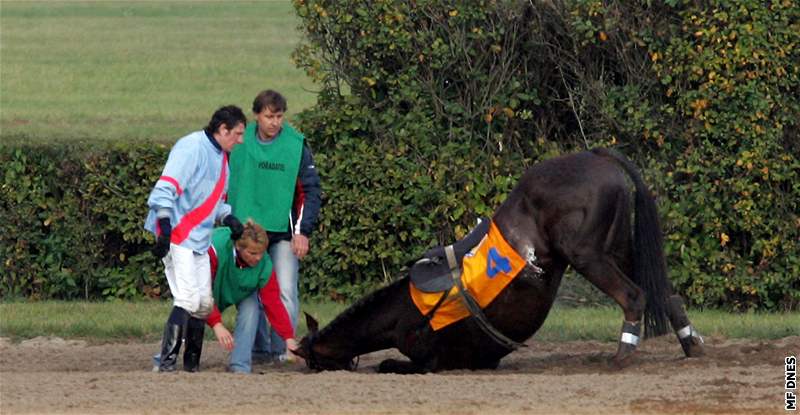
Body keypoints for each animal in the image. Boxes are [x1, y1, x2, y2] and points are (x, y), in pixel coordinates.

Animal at [296, 149, 708, 374]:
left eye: (312, 361)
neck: (405, 309)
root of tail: (595, 156)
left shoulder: (432, 360)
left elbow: (390, 364)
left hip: (587, 255)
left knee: (633, 296)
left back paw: (622, 355)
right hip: (619, 247)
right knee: (663, 293)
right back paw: (691, 344)